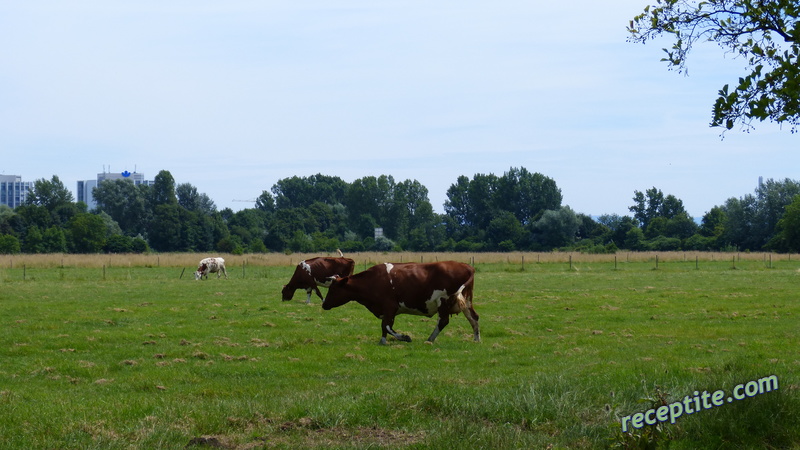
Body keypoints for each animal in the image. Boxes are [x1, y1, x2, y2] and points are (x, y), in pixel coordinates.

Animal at [320, 260, 482, 344]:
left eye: (333, 290)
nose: (324, 304)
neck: (372, 281)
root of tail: (468, 267)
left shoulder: (390, 307)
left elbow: (386, 326)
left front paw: (404, 337)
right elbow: (385, 327)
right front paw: (383, 341)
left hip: (443, 301)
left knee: (443, 321)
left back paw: (430, 339)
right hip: (466, 301)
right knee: (473, 318)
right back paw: (476, 339)